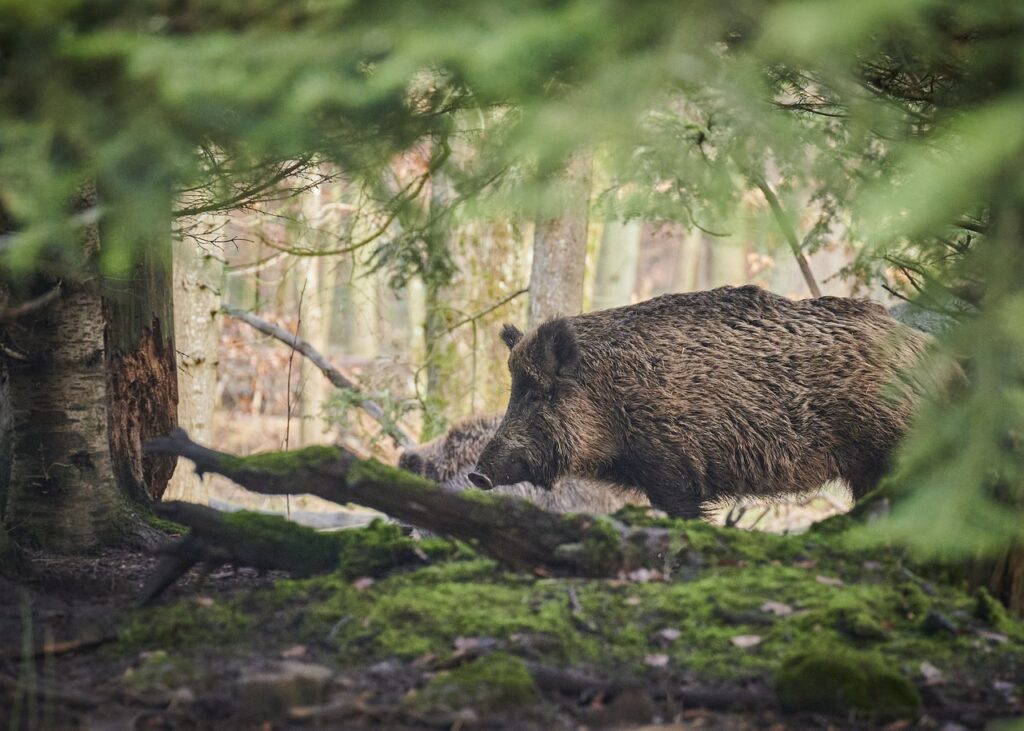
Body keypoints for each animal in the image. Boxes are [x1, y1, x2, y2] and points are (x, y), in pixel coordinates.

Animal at [470, 285, 939, 519]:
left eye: (537, 393)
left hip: (894, 449)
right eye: (514, 391)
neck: (612, 399)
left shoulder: (674, 468)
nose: (477, 475)